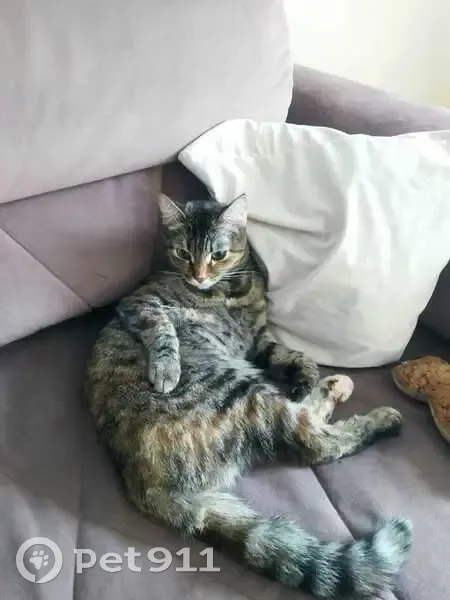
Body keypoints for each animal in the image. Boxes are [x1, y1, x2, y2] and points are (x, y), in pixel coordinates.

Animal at [86, 192, 412, 599]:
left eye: (219, 254)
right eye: (183, 253)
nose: (199, 276)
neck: (229, 290)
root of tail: (144, 482)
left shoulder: (259, 338)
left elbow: (288, 353)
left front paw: (305, 373)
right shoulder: (138, 303)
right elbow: (162, 327)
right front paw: (166, 368)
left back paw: (328, 385)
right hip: (242, 390)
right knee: (315, 440)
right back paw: (375, 412)